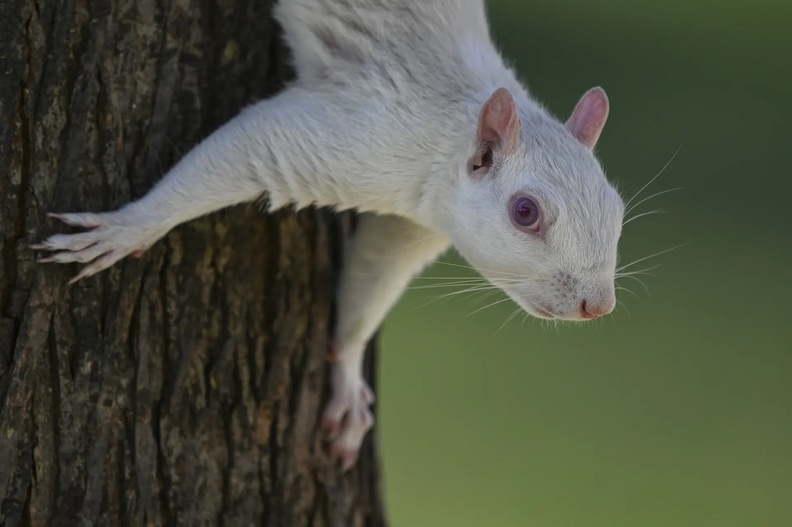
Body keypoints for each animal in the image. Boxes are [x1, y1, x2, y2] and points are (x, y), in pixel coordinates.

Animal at [33, 0, 625, 470]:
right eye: (525, 212)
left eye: (618, 209)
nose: (598, 306)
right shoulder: (363, 138)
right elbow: (252, 143)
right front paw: (128, 226)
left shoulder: (412, 224)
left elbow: (373, 271)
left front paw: (345, 374)